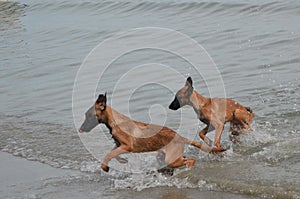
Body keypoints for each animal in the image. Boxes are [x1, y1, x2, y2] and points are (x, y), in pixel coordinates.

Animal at [78, 93, 221, 173]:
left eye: (89, 116)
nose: (80, 129)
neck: (115, 121)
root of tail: (179, 137)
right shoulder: (119, 145)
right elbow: (113, 153)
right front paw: (122, 160)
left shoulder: (127, 146)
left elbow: (108, 154)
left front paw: (104, 167)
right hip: (165, 156)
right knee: (184, 158)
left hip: (170, 159)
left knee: (191, 160)